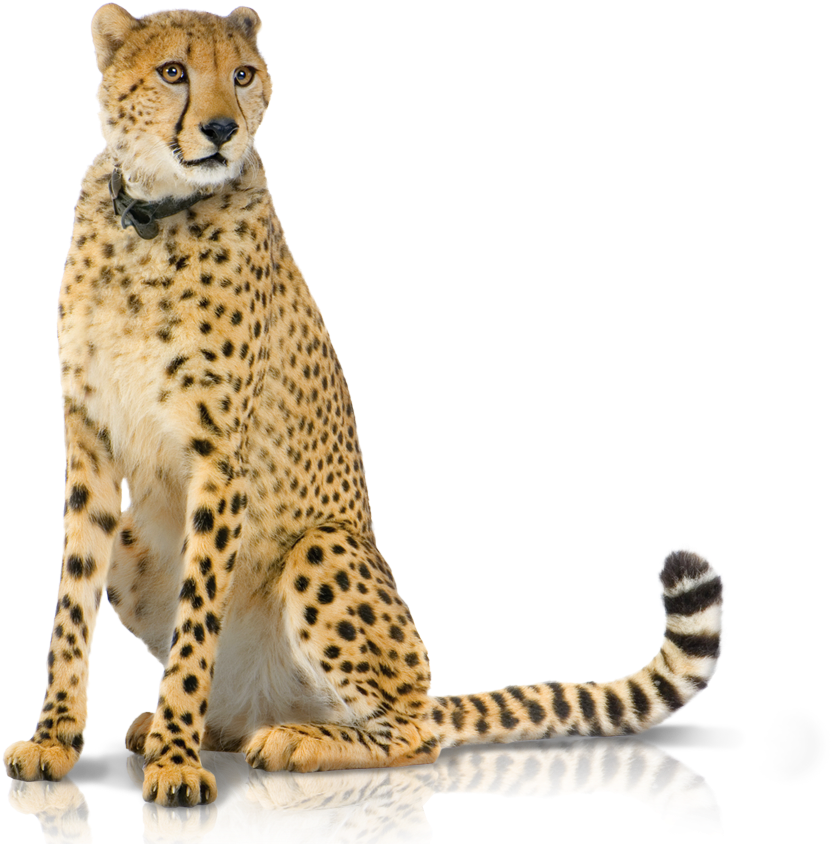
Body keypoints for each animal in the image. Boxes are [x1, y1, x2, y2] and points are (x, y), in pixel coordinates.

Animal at [3, 3, 728, 811]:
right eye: (173, 71)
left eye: (243, 74)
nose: (223, 129)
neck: (152, 219)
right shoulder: (91, 445)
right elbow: (71, 604)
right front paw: (54, 742)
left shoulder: (221, 460)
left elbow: (196, 624)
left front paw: (174, 763)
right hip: (140, 541)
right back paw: (192, 727)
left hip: (325, 550)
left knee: (414, 735)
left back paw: (288, 742)